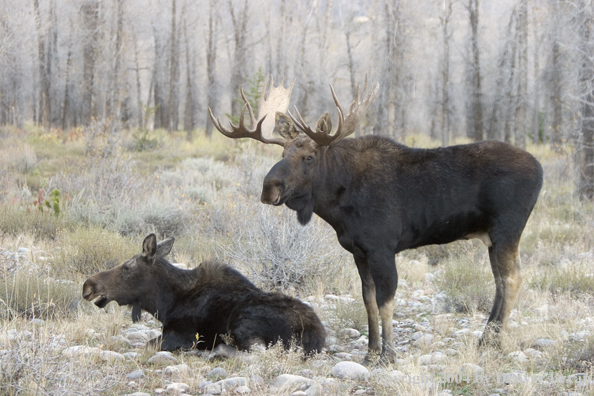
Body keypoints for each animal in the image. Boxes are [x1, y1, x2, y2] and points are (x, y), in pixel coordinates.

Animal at [80, 234, 324, 354]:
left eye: (127, 267)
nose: (88, 286)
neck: (166, 303)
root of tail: (315, 333)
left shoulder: (181, 334)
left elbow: (148, 345)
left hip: (243, 323)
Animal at [208, 76, 540, 364]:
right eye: (283, 152)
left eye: (309, 157)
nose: (269, 188)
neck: (338, 205)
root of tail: (540, 169)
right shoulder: (359, 252)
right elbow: (368, 301)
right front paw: (370, 352)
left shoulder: (382, 248)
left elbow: (386, 302)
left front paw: (388, 355)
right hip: (492, 237)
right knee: (501, 281)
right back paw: (486, 338)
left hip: (506, 230)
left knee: (512, 279)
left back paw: (495, 341)